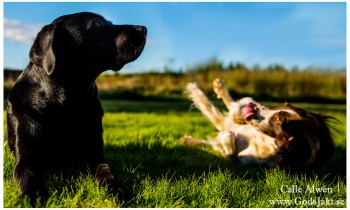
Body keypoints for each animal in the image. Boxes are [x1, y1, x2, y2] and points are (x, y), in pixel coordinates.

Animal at [6, 11, 146, 202]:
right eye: (98, 24)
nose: (144, 29)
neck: (66, 102)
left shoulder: (94, 154)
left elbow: (107, 173)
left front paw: (116, 191)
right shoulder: (26, 159)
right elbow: (28, 176)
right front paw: (33, 196)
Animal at [182, 79, 334, 171]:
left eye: (278, 119)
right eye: (285, 104)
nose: (253, 107)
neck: (265, 141)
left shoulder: (241, 160)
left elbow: (229, 148)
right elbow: (239, 107)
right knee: (236, 104)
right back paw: (220, 87)